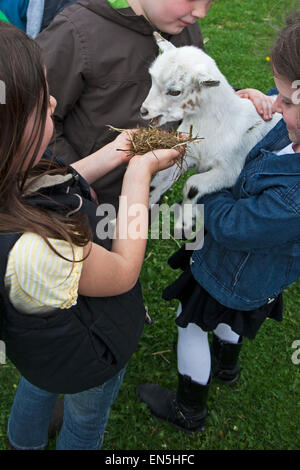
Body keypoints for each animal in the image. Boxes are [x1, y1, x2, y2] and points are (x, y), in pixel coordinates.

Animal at [142, 31, 282, 233]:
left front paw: (184, 224)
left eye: (175, 91)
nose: (144, 111)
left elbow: (191, 185)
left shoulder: (230, 170)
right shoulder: (188, 154)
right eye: (152, 79)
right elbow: (157, 182)